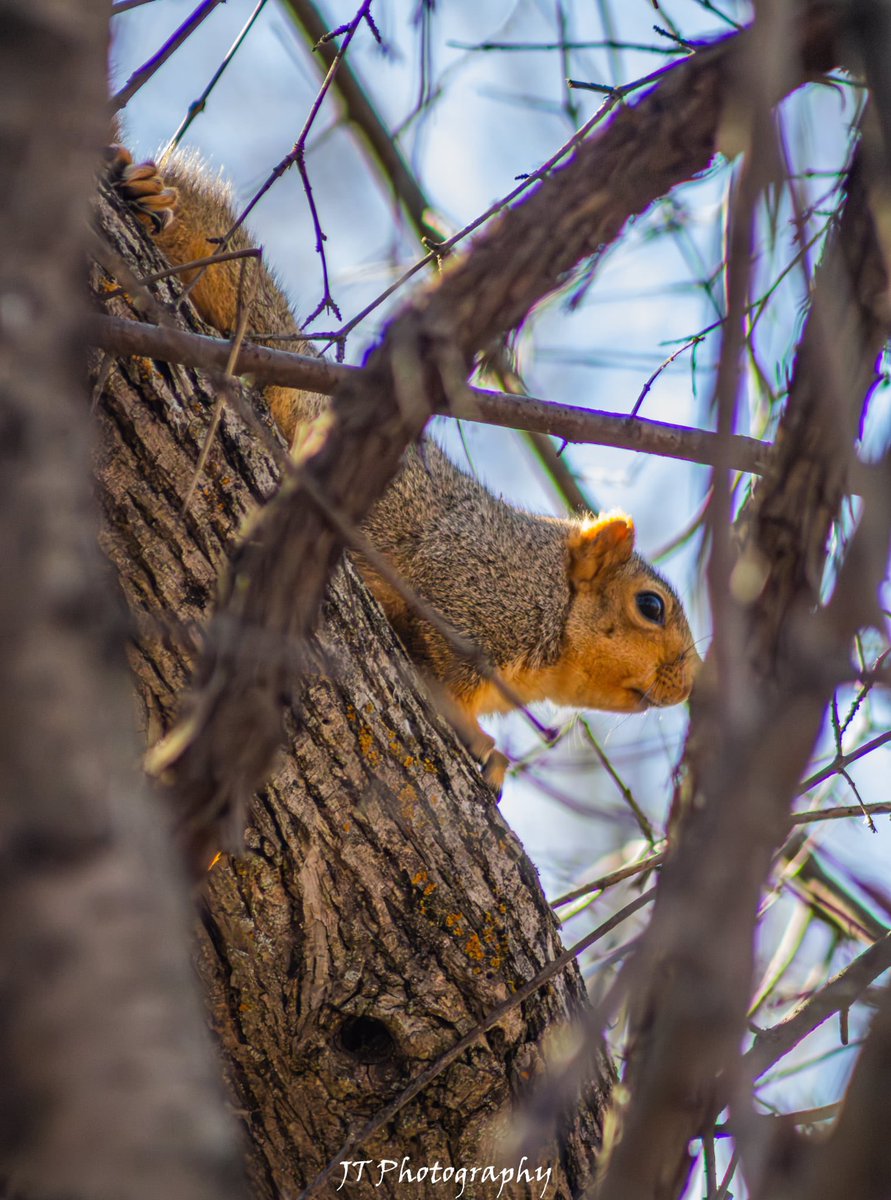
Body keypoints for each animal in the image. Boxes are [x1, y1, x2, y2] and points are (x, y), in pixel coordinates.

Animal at [105, 145, 701, 790]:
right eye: (651, 607)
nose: (691, 683)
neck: (548, 589)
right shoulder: (471, 596)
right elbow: (447, 673)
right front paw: (481, 741)